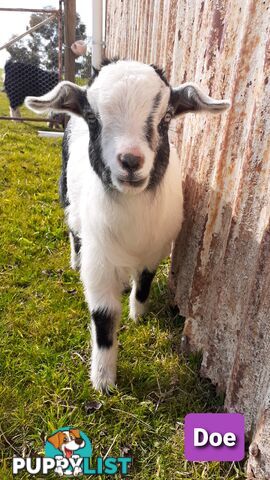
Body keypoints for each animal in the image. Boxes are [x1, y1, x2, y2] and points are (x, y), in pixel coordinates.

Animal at [24, 60, 230, 392]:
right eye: (92, 117)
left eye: (167, 117)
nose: (131, 161)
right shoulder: (99, 261)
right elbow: (104, 317)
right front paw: (103, 381)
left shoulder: (156, 248)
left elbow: (144, 283)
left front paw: (138, 314)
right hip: (67, 193)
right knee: (73, 228)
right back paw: (74, 259)